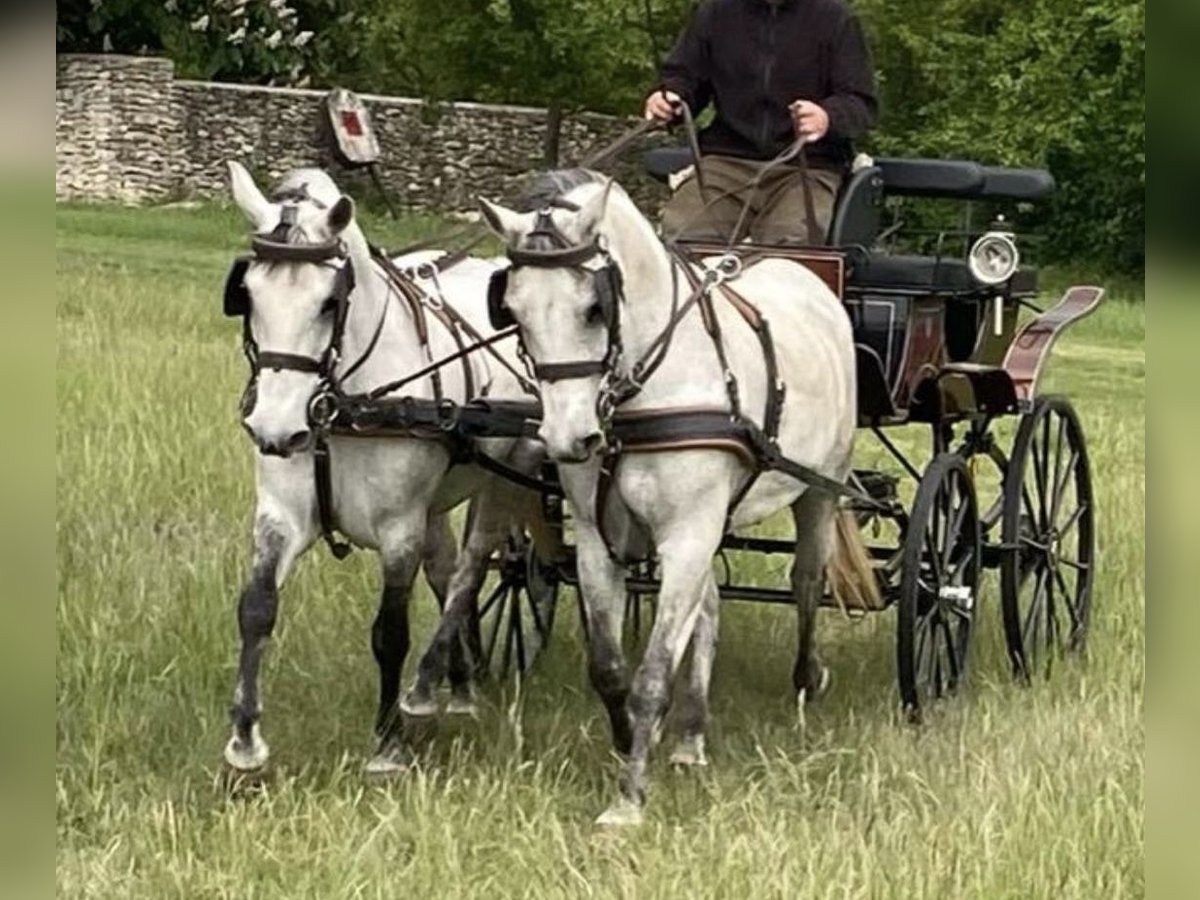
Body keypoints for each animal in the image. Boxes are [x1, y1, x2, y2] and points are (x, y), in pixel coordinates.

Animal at [222, 162, 546, 775]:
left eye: (329, 302)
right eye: (247, 294)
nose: (274, 429)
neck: (339, 404)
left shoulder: (399, 527)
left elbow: (390, 631)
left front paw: (389, 742)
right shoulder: (279, 515)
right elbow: (257, 609)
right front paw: (245, 743)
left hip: (498, 480)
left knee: (470, 571)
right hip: (438, 501)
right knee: (446, 570)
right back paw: (458, 686)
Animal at [477, 169, 873, 825]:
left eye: (594, 307)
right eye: (512, 310)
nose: (569, 438)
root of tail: (803, 277)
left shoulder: (687, 534)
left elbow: (653, 672)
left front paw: (629, 799)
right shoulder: (600, 540)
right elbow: (611, 668)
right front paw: (629, 744)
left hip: (818, 489)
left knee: (806, 582)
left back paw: (804, 680)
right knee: (708, 609)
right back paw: (691, 737)